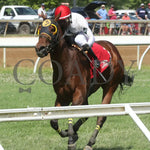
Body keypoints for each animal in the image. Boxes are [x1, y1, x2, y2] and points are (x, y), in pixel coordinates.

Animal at [35, 18, 134, 149]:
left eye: (52, 29)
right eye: (40, 28)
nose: (40, 48)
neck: (66, 64)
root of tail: (114, 49)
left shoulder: (78, 95)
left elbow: (72, 113)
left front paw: (71, 141)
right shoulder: (62, 96)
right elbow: (53, 121)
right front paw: (69, 134)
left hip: (110, 87)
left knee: (101, 116)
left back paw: (89, 143)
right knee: (86, 113)